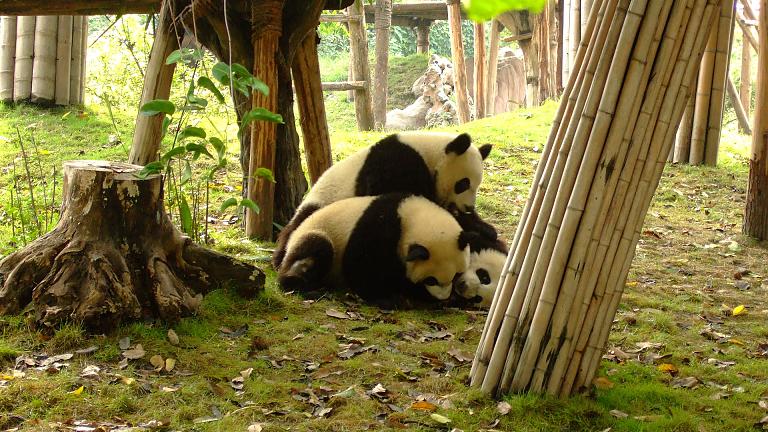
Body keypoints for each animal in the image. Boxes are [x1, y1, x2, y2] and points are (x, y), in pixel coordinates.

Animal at [273, 132, 492, 269]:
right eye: (463, 183)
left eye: (477, 185)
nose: (468, 206)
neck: (430, 152)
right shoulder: (396, 162)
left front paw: (483, 228)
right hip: (321, 204)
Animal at [278, 193, 471, 306]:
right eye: (431, 280)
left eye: (456, 275)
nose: (443, 297)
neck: (410, 215)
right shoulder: (379, 225)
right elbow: (361, 265)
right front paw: (390, 298)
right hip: (315, 234)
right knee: (318, 248)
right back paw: (301, 285)